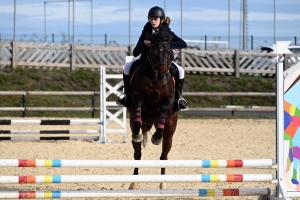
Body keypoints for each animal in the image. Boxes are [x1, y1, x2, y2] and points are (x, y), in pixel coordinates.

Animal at [125, 28, 177, 191]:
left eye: (169, 52)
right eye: (152, 52)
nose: (162, 75)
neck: (155, 79)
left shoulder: (168, 100)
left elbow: (165, 106)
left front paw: (157, 137)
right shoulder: (136, 95)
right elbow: (138, 102)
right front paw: (137, 131)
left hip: (170, 131)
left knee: (164, 156)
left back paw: (162, 184)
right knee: (137, 155)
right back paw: (133, 183)